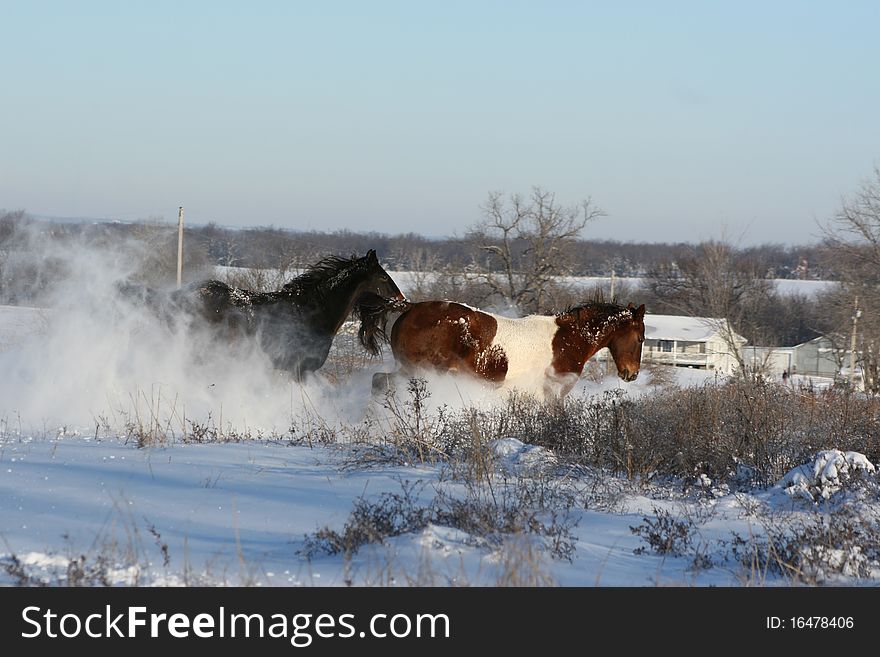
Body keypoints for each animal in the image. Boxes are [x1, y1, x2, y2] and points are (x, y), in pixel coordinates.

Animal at [358, 296, 648, 400]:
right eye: (641, 338)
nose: (631, 374)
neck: (568, 340)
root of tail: (410, 308)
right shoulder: (554, 391)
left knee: (378, 381)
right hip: (420, 371)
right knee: (380, 382)